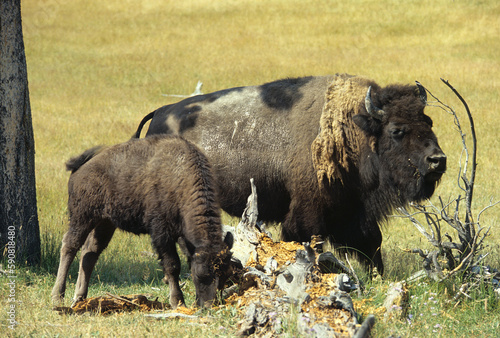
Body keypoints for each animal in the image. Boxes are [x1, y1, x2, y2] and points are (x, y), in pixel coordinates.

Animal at [51, 135, 231, 308]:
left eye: (225, 274)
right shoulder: (161, 233)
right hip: (82, 217)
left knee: (89, 253)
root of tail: (81, 166)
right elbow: (172, 265)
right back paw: (57, 297)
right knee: (70, 246)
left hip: (105, 223)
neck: (181, 177)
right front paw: (177, 302)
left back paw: (80, 298)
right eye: (201, 275)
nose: (210, 305)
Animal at [135, 74, 448, 274]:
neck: (352, 129)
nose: (438, 160)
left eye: (429, 122)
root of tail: (159, 114)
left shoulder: (352, 209)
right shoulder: (309, 211)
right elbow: (311, 241)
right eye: (397, 130)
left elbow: (371, 243)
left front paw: (377, 276)